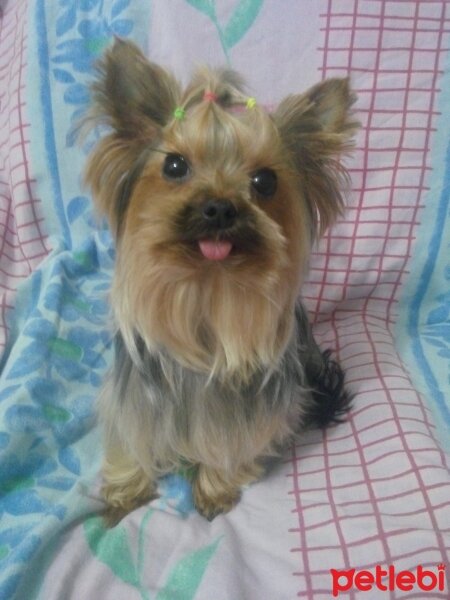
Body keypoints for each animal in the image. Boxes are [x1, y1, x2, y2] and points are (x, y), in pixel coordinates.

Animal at [84, 38, 356, 524]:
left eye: (265, 181)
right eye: (174, 166)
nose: (219, 208)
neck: (205, 287)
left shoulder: (248, 412)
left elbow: (232, 442)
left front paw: (214, 488)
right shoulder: (134, 396)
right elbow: (131, 432)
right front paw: (127, 490)